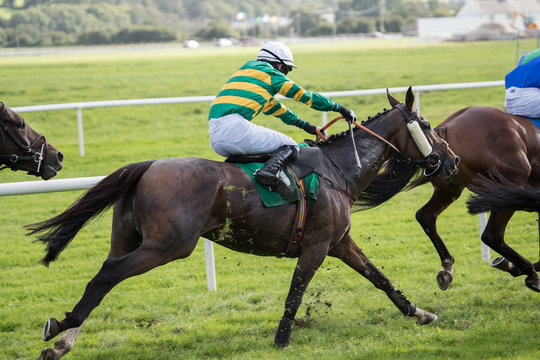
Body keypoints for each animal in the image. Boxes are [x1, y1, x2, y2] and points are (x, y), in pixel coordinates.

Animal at [28, 88, 460, 360]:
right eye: (427, 125)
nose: (452, 159)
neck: (338, 170)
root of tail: (148, 166)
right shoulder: (317, 246)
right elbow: (295, 294)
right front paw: (282, 340)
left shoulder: (340, 243)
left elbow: (380, 278)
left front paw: (419, 312)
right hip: (168, 245)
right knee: (108, 274)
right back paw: (60, 325)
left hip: (127, 237)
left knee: (105, 276)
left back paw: (62, 342)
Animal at [362, 105, 540, 294]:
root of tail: (447, 126)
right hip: (509, 186)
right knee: (492, 235)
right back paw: (528, 272)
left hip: (449, 188)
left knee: (425, 216)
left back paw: (449, 268)